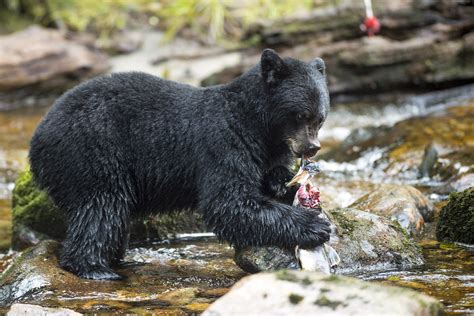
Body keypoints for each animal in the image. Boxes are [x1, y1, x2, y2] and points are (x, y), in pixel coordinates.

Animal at [29, 48, 332, 278]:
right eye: (300, 115)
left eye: (320, 117)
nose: (312, 148)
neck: (258, 125)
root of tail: (38, 139)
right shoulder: (225, 143)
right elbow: (228, 202)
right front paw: (314, 226)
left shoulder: (272, 148)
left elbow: (271, 174)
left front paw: (286, 184)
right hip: (92, 152)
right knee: (101, 208)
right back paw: (94, 268)